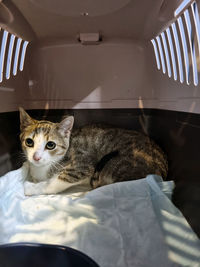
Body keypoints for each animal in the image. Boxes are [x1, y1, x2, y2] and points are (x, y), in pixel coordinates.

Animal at [19, 107, 168, 197]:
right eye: (29, 142)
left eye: (50, 145)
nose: (36, 157)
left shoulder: (82, 164)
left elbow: (56, 181)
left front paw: (30, 188)